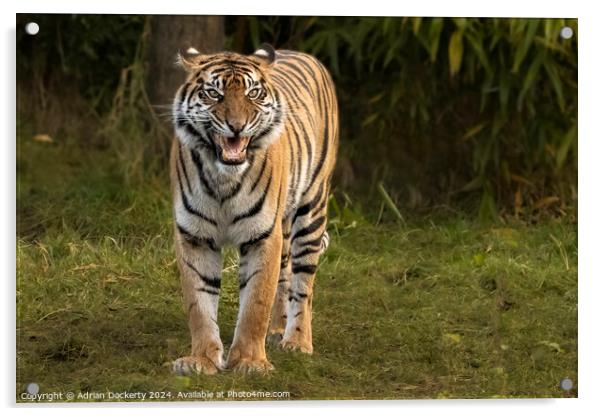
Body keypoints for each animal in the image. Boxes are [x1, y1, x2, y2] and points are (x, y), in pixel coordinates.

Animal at [169, 44, 338, 376]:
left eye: (253, 94)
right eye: (213, 93)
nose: (237, 126)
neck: (223, 178)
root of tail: (303, 53)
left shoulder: (262, 236)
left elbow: (256, 302)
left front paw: (250, 362)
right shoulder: (194, 237)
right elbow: (199, 304)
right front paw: (201, 360)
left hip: (312, 209)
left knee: (303, 284)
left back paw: (297, 342)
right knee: (284, 275)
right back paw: (277, 331)